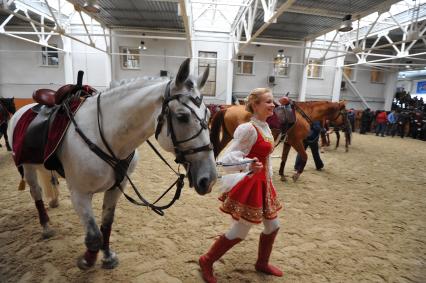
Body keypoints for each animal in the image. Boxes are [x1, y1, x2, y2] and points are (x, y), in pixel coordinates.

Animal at [7, 58, 216, 270]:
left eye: (208, 114)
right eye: (182, 116)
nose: (210, 179)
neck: (103, 135)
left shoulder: (117, 187)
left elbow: (107, 225)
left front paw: (107, 256)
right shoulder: (79, 194)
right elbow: (93, 236)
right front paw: (88, 260)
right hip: (27, 168)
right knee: (36, 193)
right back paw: (46, 226)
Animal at [210, 101, 350, 182]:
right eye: (345, 113)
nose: (346, 126)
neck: (303, 114)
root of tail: (227, 109)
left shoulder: (288, 142)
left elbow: (284, 158)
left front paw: (282, 174)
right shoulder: (296, 141)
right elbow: (304, 156)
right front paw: (296, 175)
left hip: (228, 135)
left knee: (218, 149)